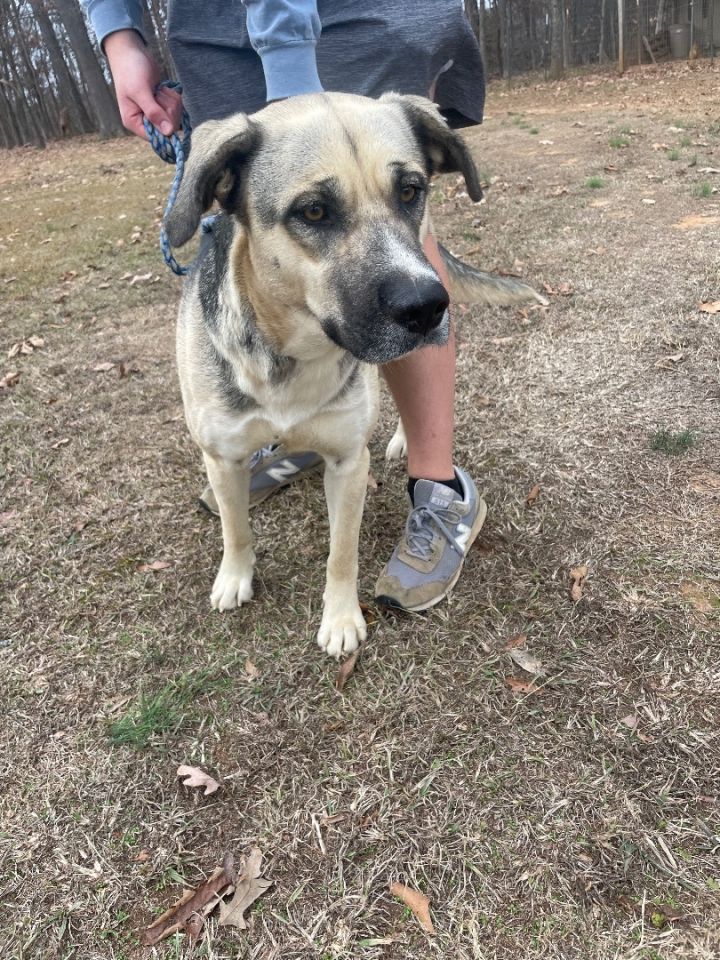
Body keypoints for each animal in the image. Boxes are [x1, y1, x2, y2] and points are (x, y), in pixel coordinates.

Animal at [166, 92, 544, 660]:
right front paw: (235, 577)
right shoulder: (222, 456)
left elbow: (341, 552)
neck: (294, 359)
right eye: (314, 211)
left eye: (410, 191)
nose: (427, 307)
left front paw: (341, 619)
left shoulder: (347, 464)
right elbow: (236, 529)